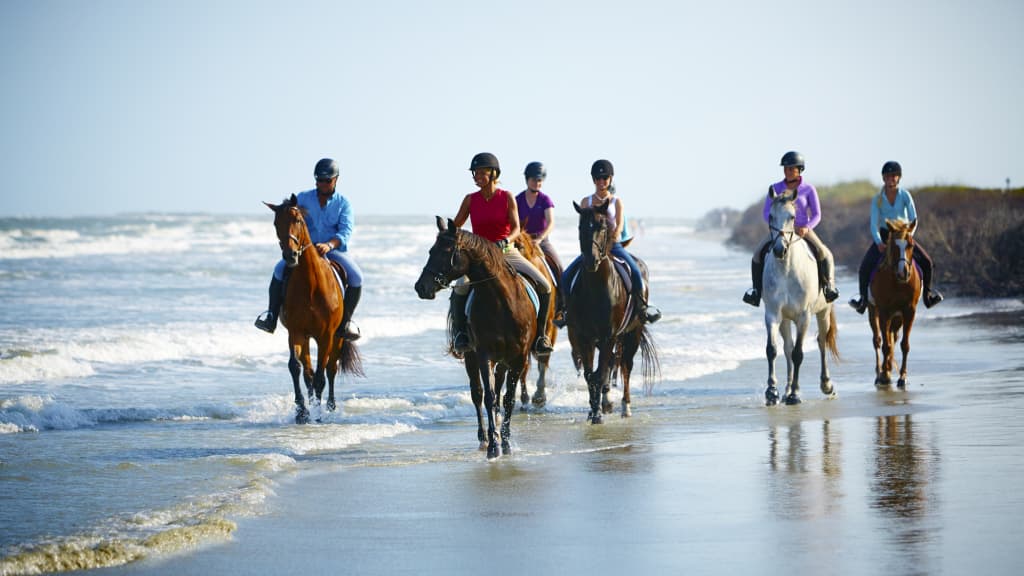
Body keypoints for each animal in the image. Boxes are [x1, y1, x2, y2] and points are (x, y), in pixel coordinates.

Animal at [266, 192, 362, 422]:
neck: (310, 284)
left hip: (336, 338)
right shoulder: (296, 332)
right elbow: (296, 368)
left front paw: (318, 414)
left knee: (330, 369)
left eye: (298, 221)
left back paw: (330, 407)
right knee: (308, 372)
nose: (290, 256)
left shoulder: (326, 335)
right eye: (276, 223)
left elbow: (321, 375)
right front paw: (302, 411)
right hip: (307, 337)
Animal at [411, 215, 552, 457]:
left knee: (499, 387)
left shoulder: (518, 357)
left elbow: (508, 399)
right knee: (477, 393)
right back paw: (484, 438)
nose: (421, 287)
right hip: (471, 356)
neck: (502, 301)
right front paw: (494, 446)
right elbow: (488, 397)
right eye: (430, 250)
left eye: (445, 252)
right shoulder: (484, 354)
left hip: (504, 360)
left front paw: (506, 442)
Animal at [565, 201, 659, 422]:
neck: (596, 287)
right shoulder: (585, 336)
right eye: (580, 227)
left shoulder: (608, 335)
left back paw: (625, 406)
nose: (590, 260)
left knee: (625, 366)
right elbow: (590, 375)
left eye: (602, 227)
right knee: (612, 364)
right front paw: (593, 410)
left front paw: (598, 414)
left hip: (632, 332)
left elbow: (600, 374)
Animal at [761, 191, 839, 403]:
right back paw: (786, 389)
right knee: (787, 347)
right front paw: (772, 391)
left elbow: (798, 354)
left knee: (821, 342)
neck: (787, 269)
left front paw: (795, 394)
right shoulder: (772, 314)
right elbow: (772, 350)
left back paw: (827, 385)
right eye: (770, 216)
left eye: (793, 217)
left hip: (823, 312)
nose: (779, 249)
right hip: (785, 320)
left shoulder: (804, 316)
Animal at [868, 217, 925, 387]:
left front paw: (902, 377)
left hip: (897, 317)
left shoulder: (909, 311)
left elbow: (904, 345)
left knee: (893, 337)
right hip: (873, 311)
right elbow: (886, 345)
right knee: (878, 340)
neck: (897, 282)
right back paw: (880, 372)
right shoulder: (884, 311)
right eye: (893, 246)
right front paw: (884, 375)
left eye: (911, 245)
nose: (903, 272)